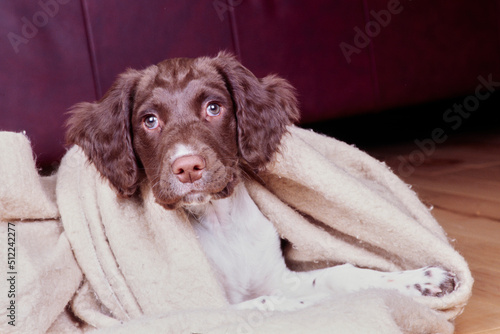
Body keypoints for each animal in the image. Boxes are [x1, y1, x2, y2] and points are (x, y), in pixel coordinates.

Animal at [64, 52, 456, 310]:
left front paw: (421, 279)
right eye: (149, 121)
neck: (220, 224)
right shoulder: (202, 309)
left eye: (213, 108)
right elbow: (274, 304)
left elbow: (338, 275)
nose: (188, 167)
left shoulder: (275, 275)